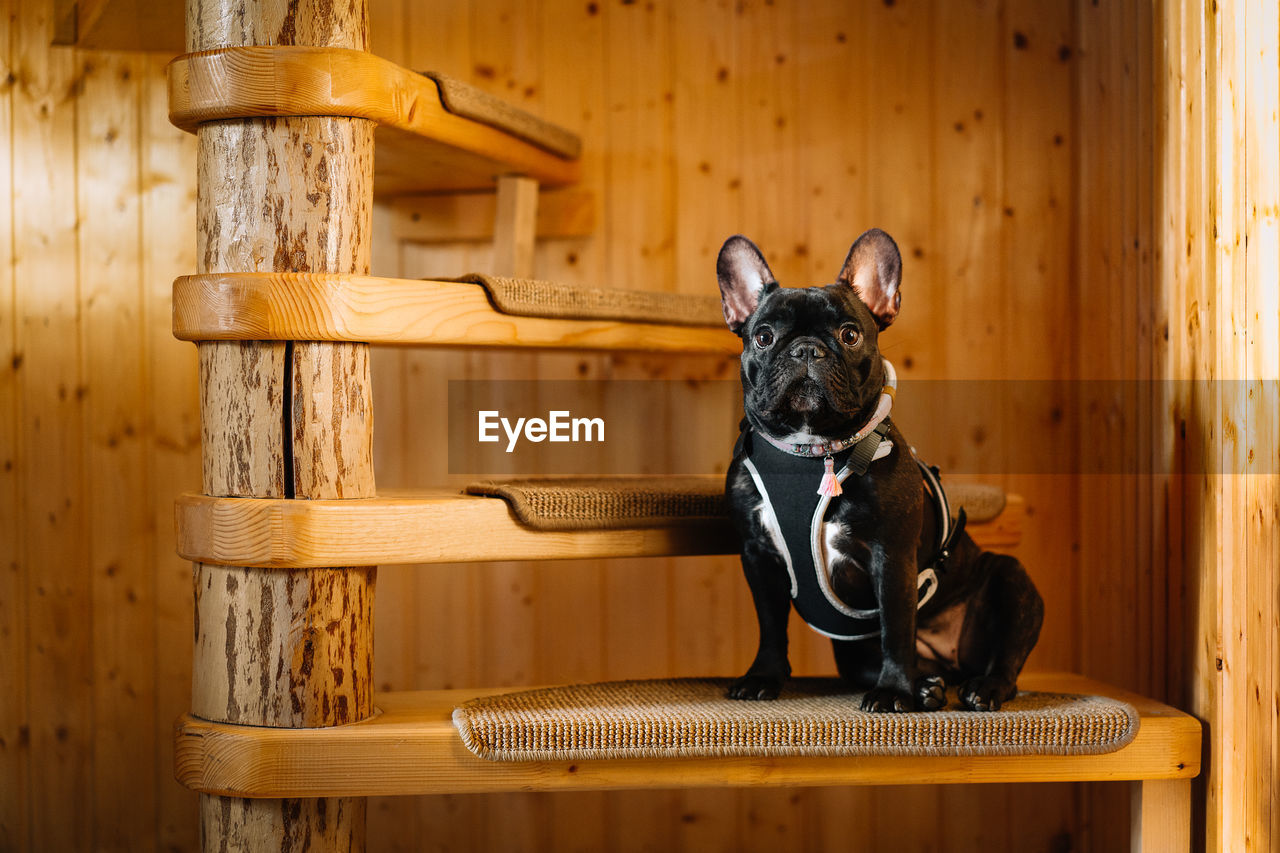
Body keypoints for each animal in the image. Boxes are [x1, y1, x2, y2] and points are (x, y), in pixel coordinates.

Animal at [721, 229, 1039, 706]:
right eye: (763, 336)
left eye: (850, 334)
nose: (806, 349)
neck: (815, 452)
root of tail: (951, 664)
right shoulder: (759, 557)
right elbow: (771, 627)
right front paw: (764, 676)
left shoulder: (892, 557)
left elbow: (895, 626)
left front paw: (892, 691)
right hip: (851, 654)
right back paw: (925, 686)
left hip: (1011, 578)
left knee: (1005, 658)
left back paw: (979, 688)